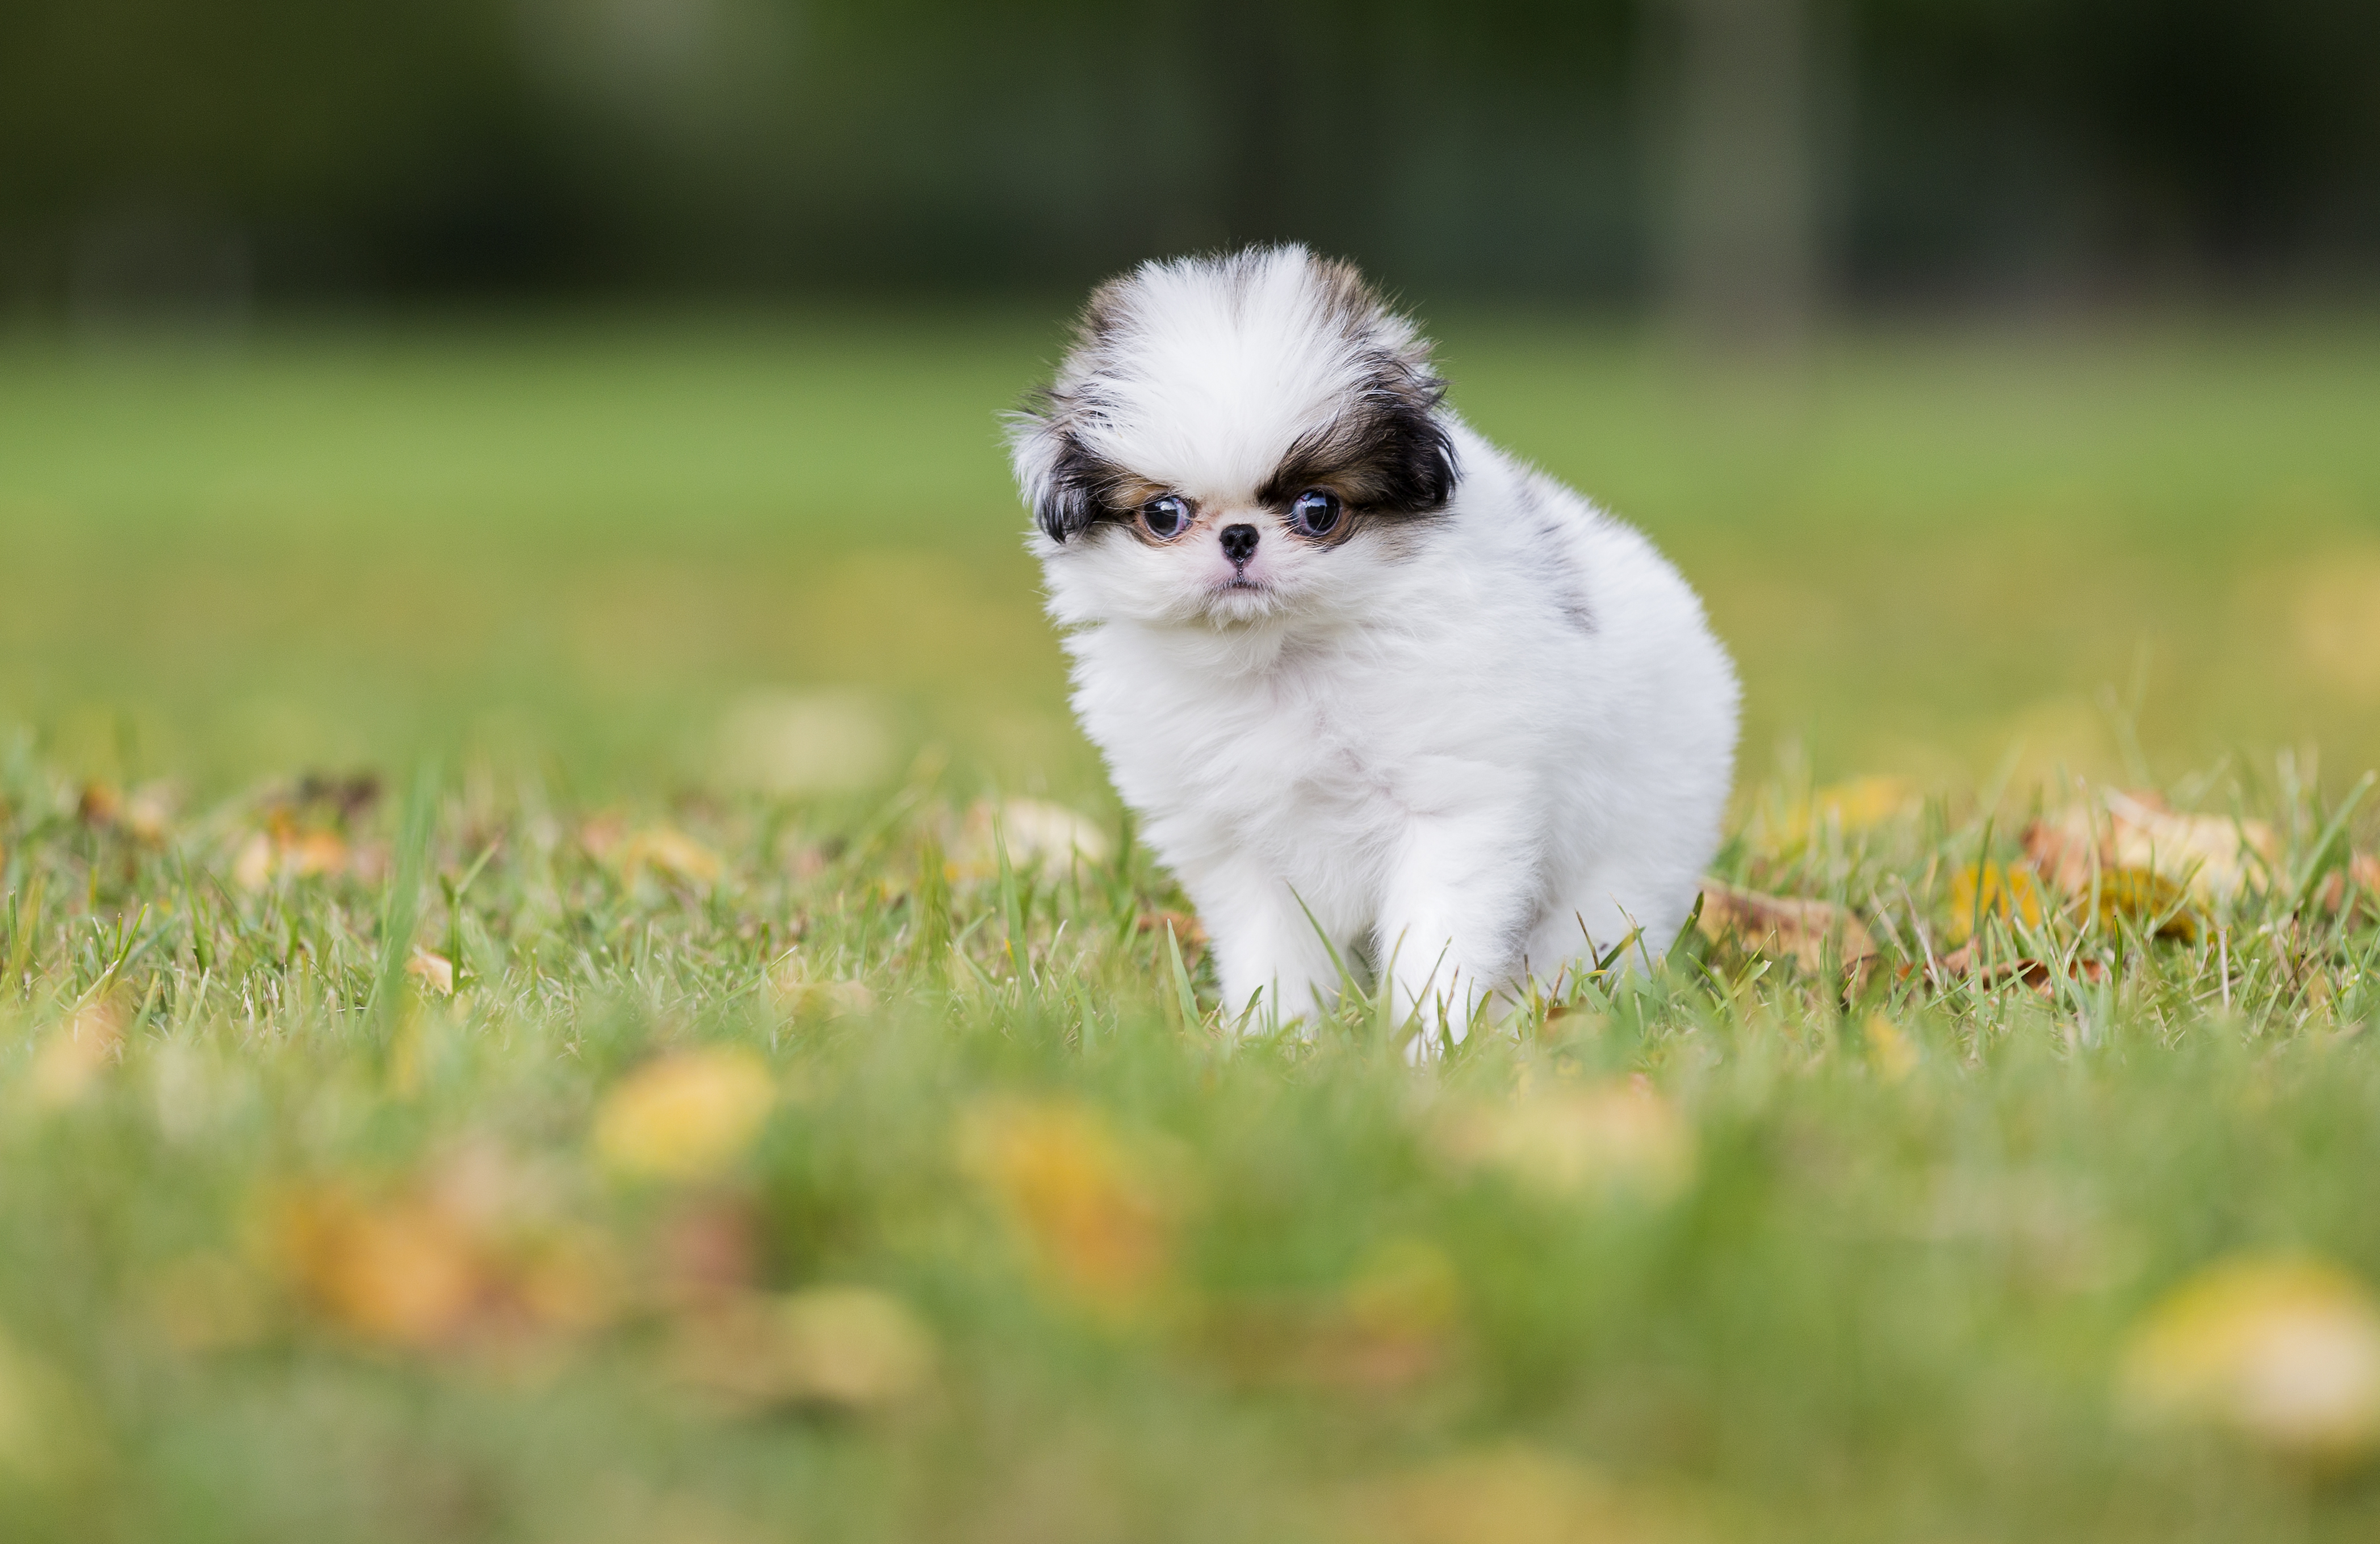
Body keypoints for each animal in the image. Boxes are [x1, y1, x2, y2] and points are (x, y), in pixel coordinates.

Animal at [1013, 247, 1742, 1042]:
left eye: (1317, 509)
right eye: (1165, 515)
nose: (1238, 536)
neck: (1281, 657)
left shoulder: (1449, 808)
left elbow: (1436, 937)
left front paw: (1429, 1041)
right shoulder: (1237, 843)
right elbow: (1272, 946)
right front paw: (1276, 1036)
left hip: (1635, 848)